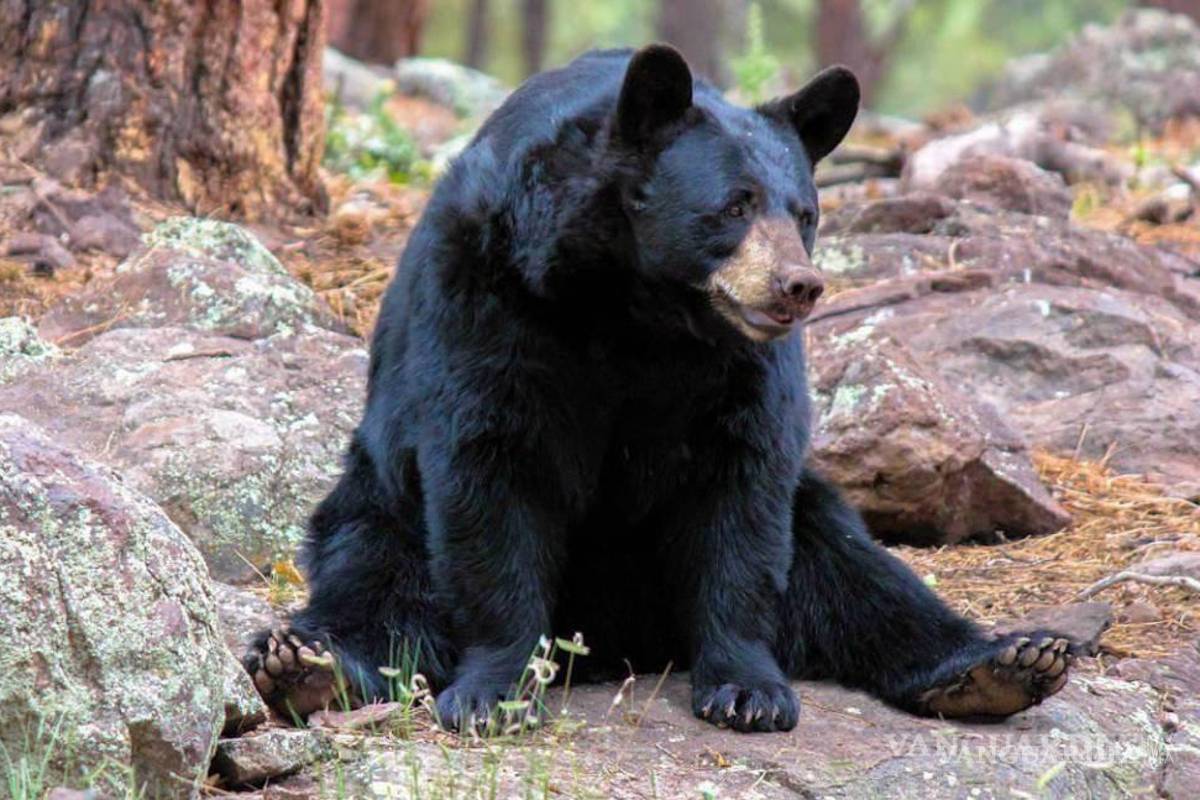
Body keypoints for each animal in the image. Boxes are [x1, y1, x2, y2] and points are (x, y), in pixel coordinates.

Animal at [245, 45, 1073, 733]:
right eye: (735, 204)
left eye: (805, 213)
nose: (798, 285)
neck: (635, 307)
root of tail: (624, 644)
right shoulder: (488, 294)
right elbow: (490, 470)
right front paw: (494, 692)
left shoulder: (739, 367)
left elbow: (742, 499)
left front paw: (748, 690)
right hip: (380, 501)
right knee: (374, 581)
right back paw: (304, 664)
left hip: (814, 515)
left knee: (860, 574)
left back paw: (1004, 664)